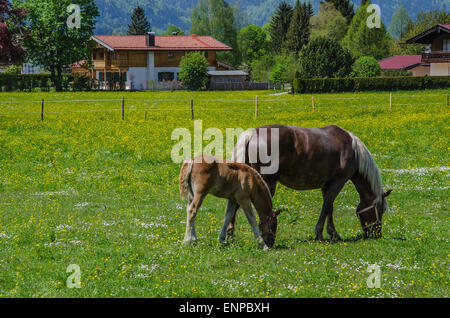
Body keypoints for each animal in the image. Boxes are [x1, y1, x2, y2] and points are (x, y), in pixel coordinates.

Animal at [227, 124, 392, 241]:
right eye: (380, 209)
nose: (377, 234)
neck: (352, 150)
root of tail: (251, 134)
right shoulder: (338, 182)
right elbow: (327, 205)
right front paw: (320, 233)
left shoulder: (327, 185)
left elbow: (329, 207)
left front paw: (332, 233)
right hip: (266, 184)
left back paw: (229, 233)